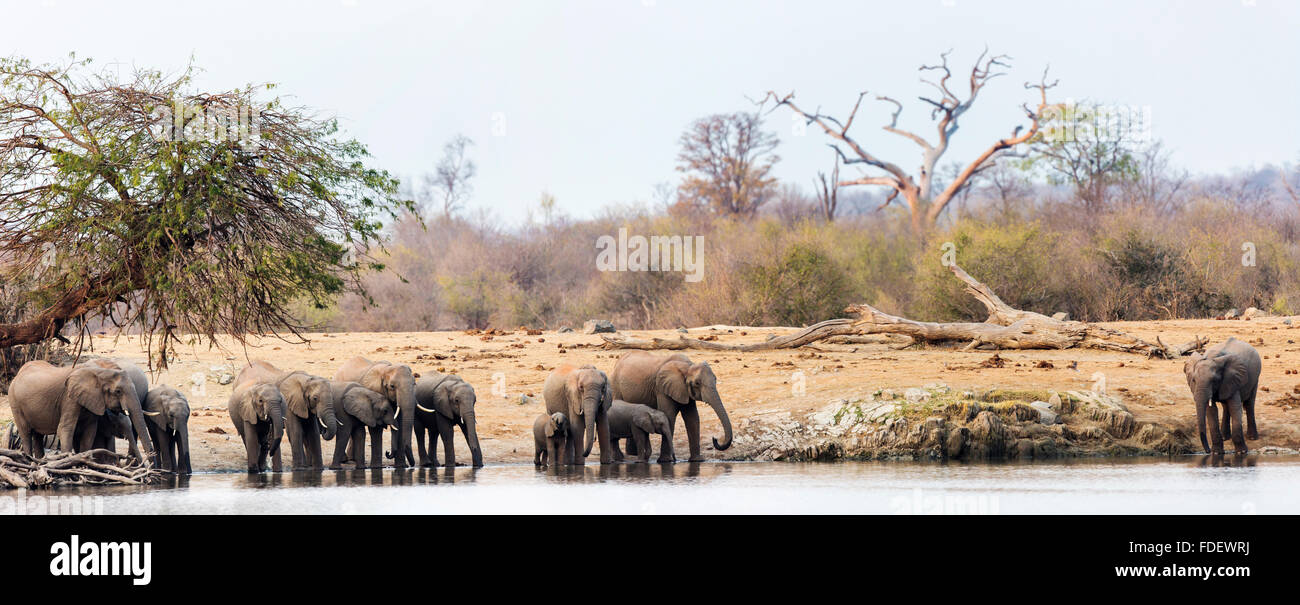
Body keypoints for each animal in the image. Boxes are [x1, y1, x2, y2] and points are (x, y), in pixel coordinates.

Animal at [6, 359, 154, 457]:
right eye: (118, 391)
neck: (99, 370)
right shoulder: (69, 397)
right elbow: (65, 428)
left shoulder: (94, 400)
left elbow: (90, 431)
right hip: (14, 401)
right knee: (26, 433)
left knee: (38, 435)